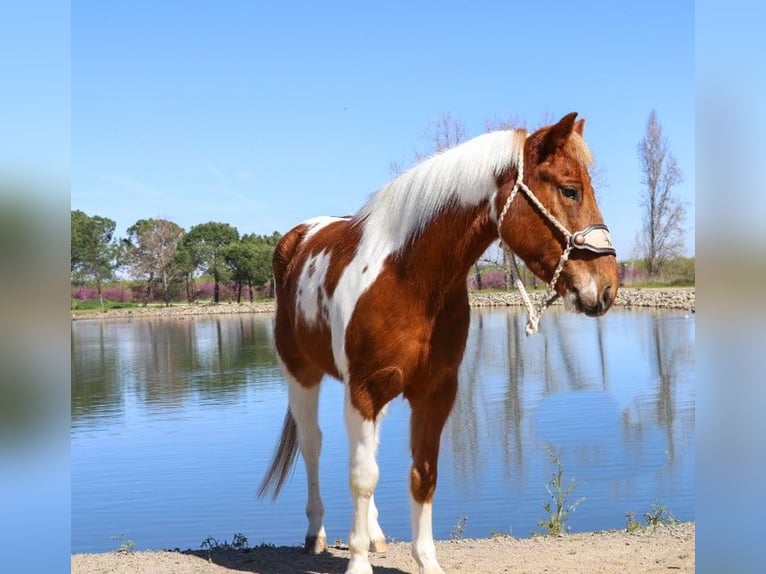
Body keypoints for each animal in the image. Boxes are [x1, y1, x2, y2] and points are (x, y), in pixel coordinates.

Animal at [260, 113, 620, 574]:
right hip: (301, 375)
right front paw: (357, 563)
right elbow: (362, 476)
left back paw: (375, 534)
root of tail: (295, 239)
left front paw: (425, 560)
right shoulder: (364, 390)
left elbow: (423, 474)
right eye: (569, 189)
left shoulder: (434, 392)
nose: (607, 287)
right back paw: (316, 534)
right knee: (313, 446)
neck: (410, 278)